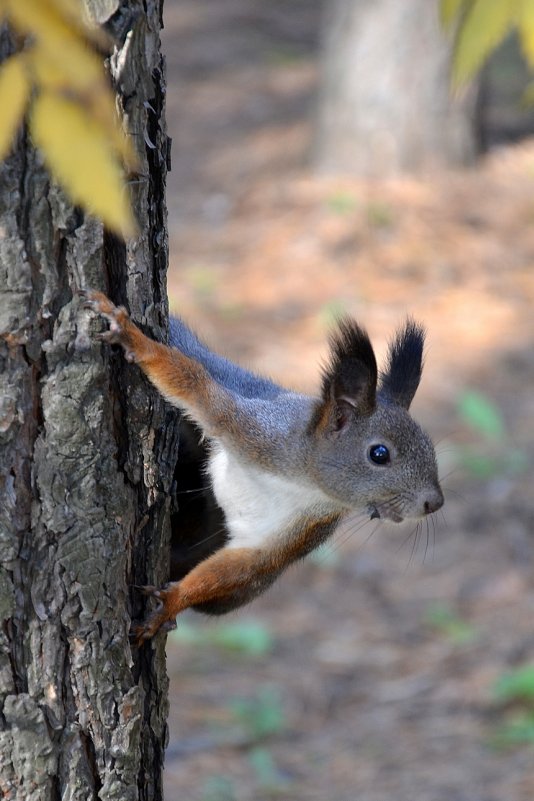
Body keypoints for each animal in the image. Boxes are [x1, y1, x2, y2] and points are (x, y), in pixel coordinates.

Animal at [82, 290, 444, 640]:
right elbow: (195, 385)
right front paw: (133, 338)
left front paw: (170, 604)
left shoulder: (298, 531)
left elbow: (238, 569)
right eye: (379, 454)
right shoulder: (253, 428)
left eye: (430, 446)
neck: (305, 482)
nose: (435, 503)